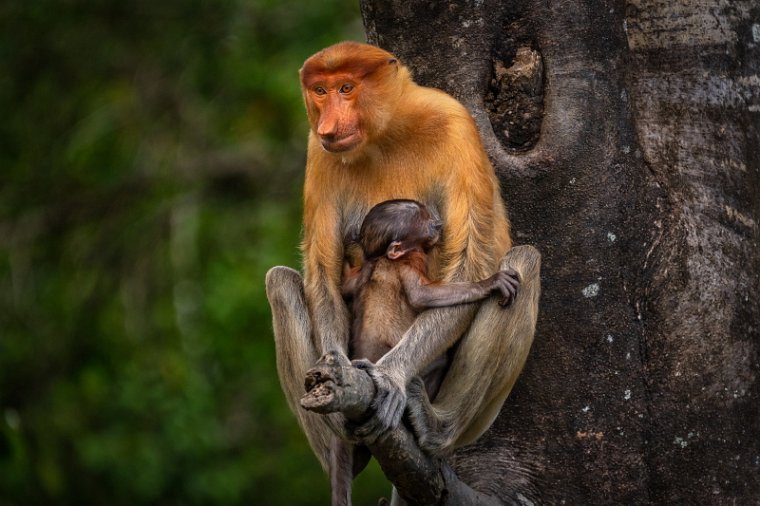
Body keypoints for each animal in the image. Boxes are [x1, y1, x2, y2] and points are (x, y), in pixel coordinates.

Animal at [268, 39, 540, 502]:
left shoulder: (457, 124)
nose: (328, 125)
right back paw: (343, 443)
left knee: (525, 262)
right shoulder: (317, 152)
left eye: (346, 87)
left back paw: (434, 429)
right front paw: (340, 365)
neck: (385, 135)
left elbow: (471, 262)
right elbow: (324, 273)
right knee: (280, 281)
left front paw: (390, 377)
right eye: (320, 91)